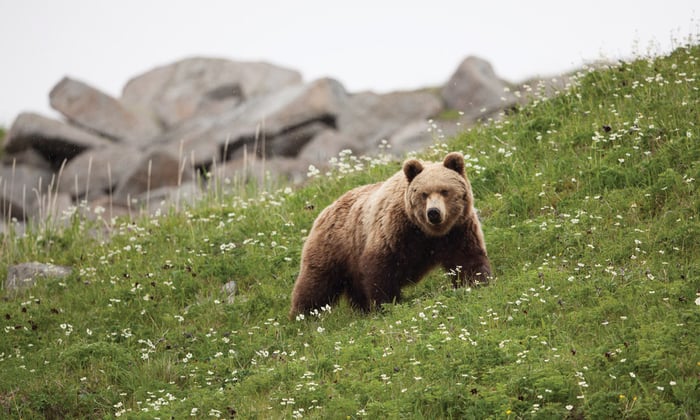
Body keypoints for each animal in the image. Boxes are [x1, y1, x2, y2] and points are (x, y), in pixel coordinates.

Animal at [289, 152, 491, 317]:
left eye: (445, 191)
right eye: (424, 194)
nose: (433, 212)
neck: (427, 232)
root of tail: (324, 211)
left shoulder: (457, 230)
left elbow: (467, 259)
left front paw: (476, 283)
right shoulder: (395, 231)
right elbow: (381, 270)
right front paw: (388, 305)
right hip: (334, 248)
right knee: (315, 286)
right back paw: (303, 317)